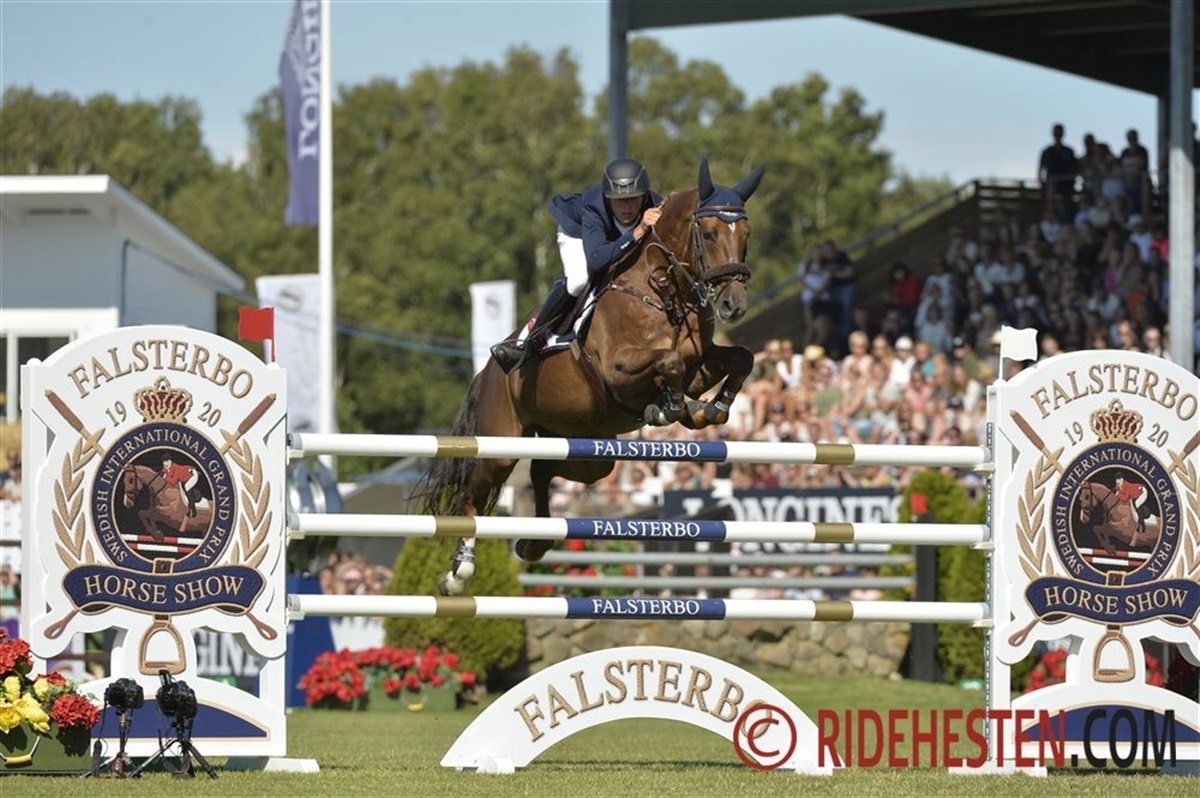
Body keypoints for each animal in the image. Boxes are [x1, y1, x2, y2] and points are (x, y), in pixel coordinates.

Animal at [422, 158, 758, 595]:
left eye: (746, 234)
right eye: (709, 232)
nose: (734, 305)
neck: (661, 286)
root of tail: (485, 374)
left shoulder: (699, 365)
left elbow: (740, 358)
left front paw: (710, 409)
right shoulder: (617, 369)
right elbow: (667, 362)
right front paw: (671, 407)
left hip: (587, 448)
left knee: (542, 470)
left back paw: (533, 543)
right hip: (501, 445)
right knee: (474, 493)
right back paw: (457, 572)